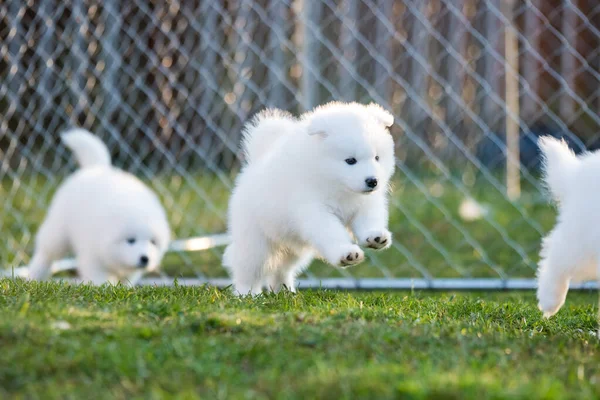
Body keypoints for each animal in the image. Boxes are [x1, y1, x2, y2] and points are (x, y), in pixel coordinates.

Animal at [28, 128, 171, 284]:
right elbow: (98, 278)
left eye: (153, 242)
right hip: (59, 232)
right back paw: (34, 275)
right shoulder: (92, 256)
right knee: (46, 253)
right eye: (131, 240)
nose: (145, 258)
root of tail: (96, 167)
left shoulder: (130, 271)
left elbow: (126, 281)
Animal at [223, 101, 396, 296]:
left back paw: (285, 293)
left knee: (281, 270)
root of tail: (254, 165)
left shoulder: (366, 204)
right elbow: (331, 232)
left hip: (291, 247)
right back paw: (247, 294)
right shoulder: (315, 211)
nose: (373, 181)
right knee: (247, 269)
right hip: (256, 242)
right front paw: (346, 253)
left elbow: (369, 220)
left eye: (377, 158)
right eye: (351, 160)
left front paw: (375, 237)